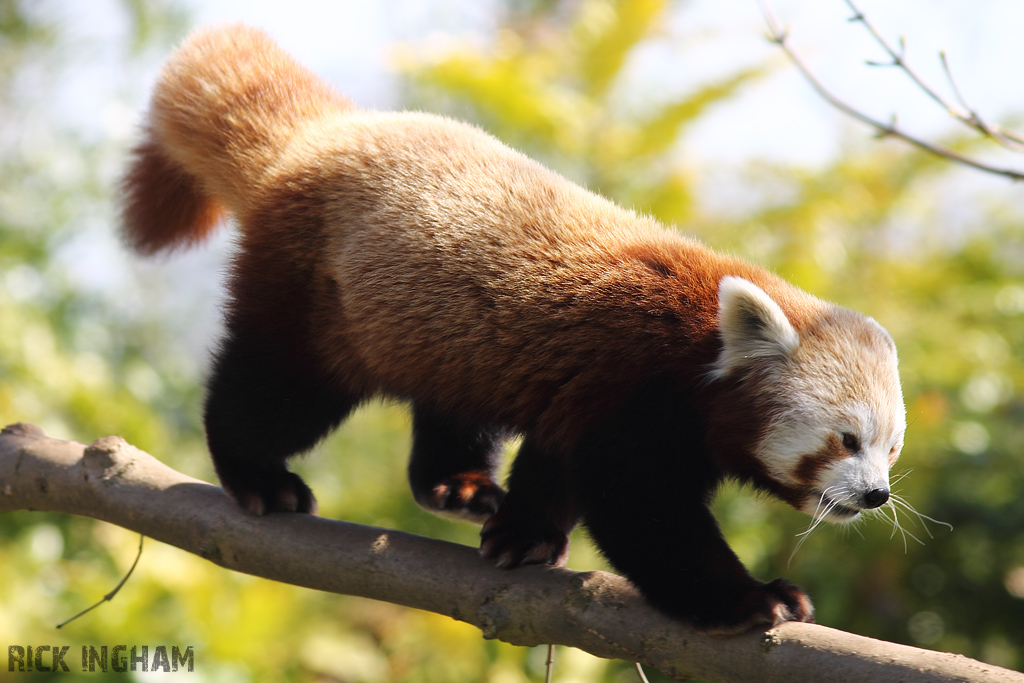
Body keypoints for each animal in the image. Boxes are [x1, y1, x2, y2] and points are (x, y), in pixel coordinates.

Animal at [119, 26, 905, 634]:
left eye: (891, 448)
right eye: (847, 439)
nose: (877, 495)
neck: (698, 352)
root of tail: (324, 133)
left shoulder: (583, 393)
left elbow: (557, 466)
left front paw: (524, 536)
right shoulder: (634, 385)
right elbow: (644, 513)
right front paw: (755, 599)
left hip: (444, 337)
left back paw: (457, 484)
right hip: (315, 297)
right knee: (275, 390)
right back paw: (259, 478)